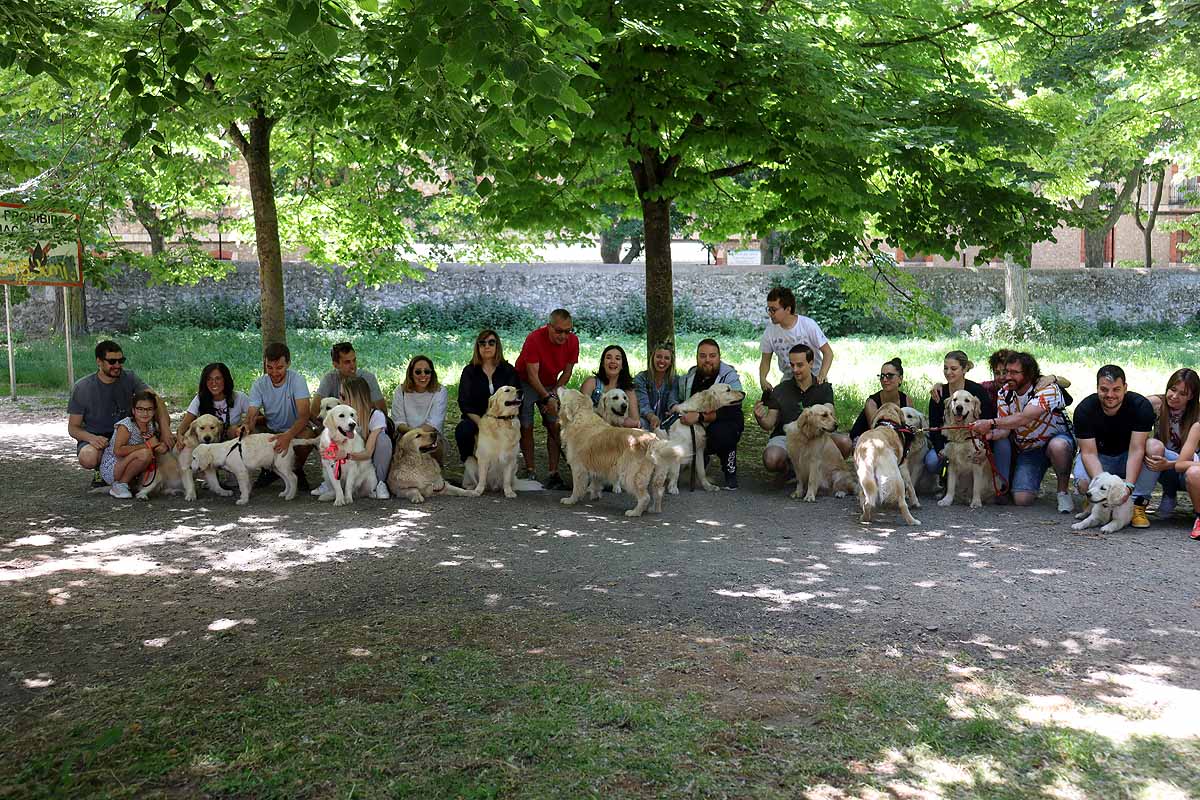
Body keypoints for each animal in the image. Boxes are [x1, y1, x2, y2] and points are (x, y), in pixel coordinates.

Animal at [189, 431, 319, 506]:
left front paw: (243, 500)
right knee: (287, 480)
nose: (190, 467)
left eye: (194, 458)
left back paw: (290, 496)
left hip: (282, 464)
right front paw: (246, 496)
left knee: (293, 478)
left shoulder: (241, 472)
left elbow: (242, 487)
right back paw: (285, 493)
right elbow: (247, 485)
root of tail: (290, 440)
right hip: (277, 466)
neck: (224, 451)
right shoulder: (246, 472)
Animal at [554, 388, 681, 520]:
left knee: (645, 497)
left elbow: (577, 487)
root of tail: (652, 440)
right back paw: (654, 509)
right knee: (659, 493)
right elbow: (596, 482)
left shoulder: (578, 468)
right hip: (657, 476)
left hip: (630, 476)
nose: (561, 386)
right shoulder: (597, 465)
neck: (581, 417)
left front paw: (571, 500)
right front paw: (595, 495)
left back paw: (635, 512)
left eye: (566, 391)